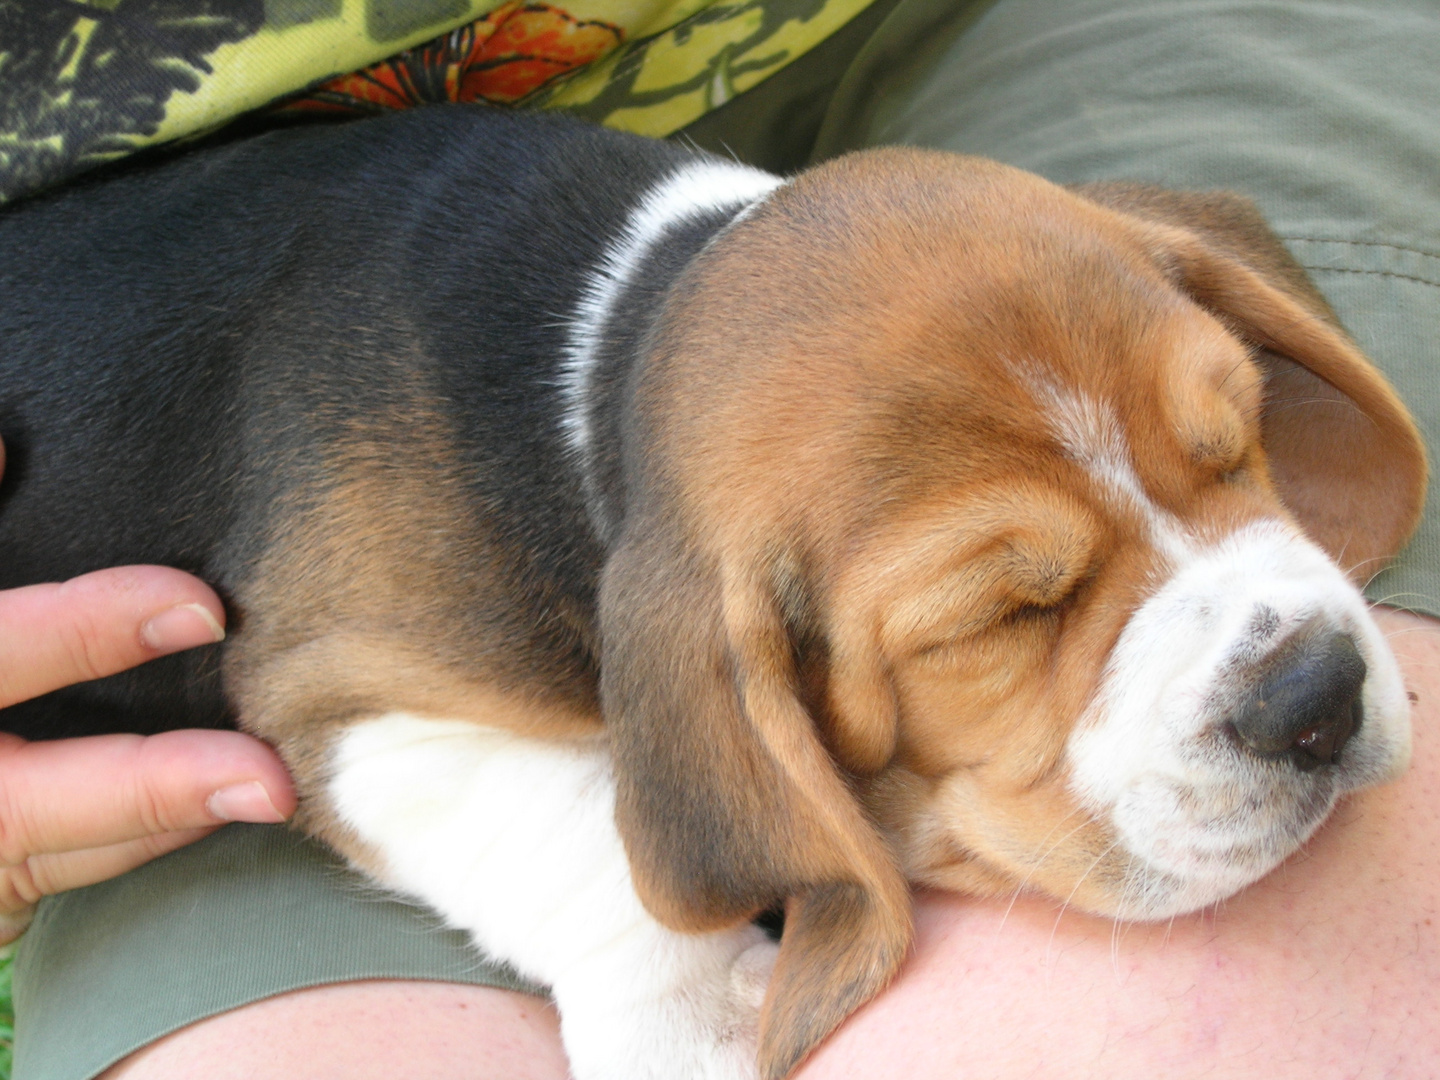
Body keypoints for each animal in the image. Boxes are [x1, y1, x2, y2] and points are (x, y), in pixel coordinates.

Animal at [0, 103, 1422, 1080]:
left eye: (1236, 443)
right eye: (999, 619)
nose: (1317, 696)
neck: (603, 345)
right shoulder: (335, 689)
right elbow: (592, 833)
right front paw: (708, 1018)